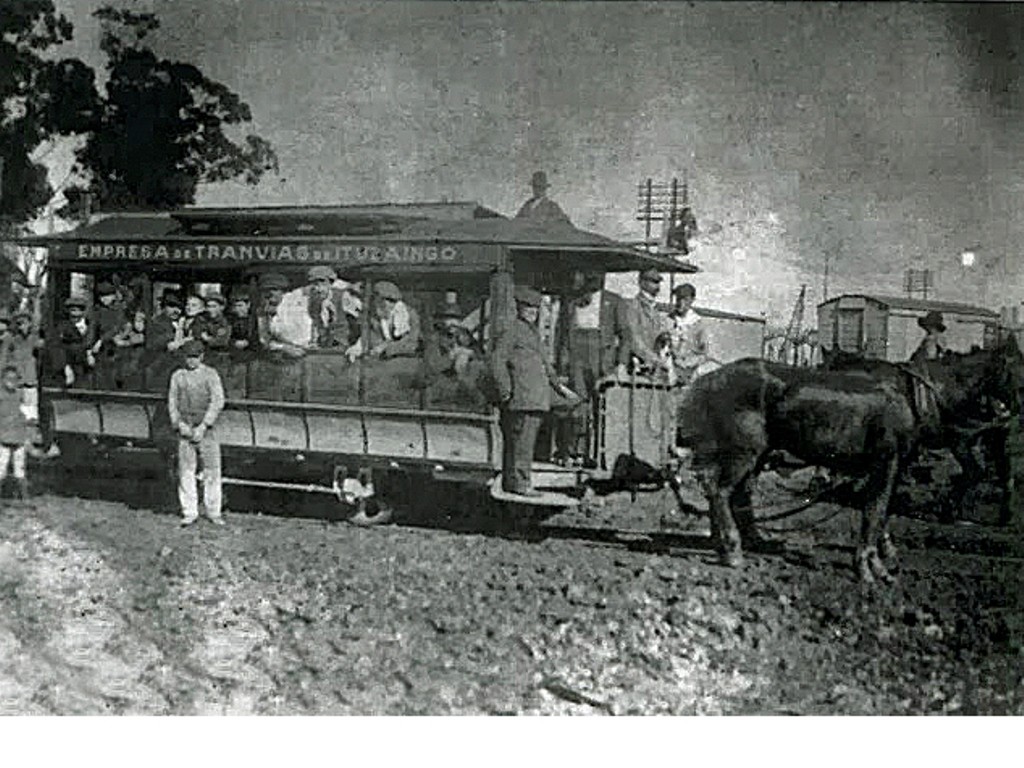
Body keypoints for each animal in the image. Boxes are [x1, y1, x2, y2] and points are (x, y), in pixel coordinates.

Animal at [675, 335, 1019, 581]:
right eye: (1019, 366)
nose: (1009, 415)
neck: (915, 396)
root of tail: (710, 378)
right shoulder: (887, 460)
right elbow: (874, 511)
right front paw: (867, 567)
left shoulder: (892, 465)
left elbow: (881, 511)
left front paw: (881, 563)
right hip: (743, 452)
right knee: (719, 491)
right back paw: (732, 550)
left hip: (755, 454)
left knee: (731, 493)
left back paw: (738, 543)